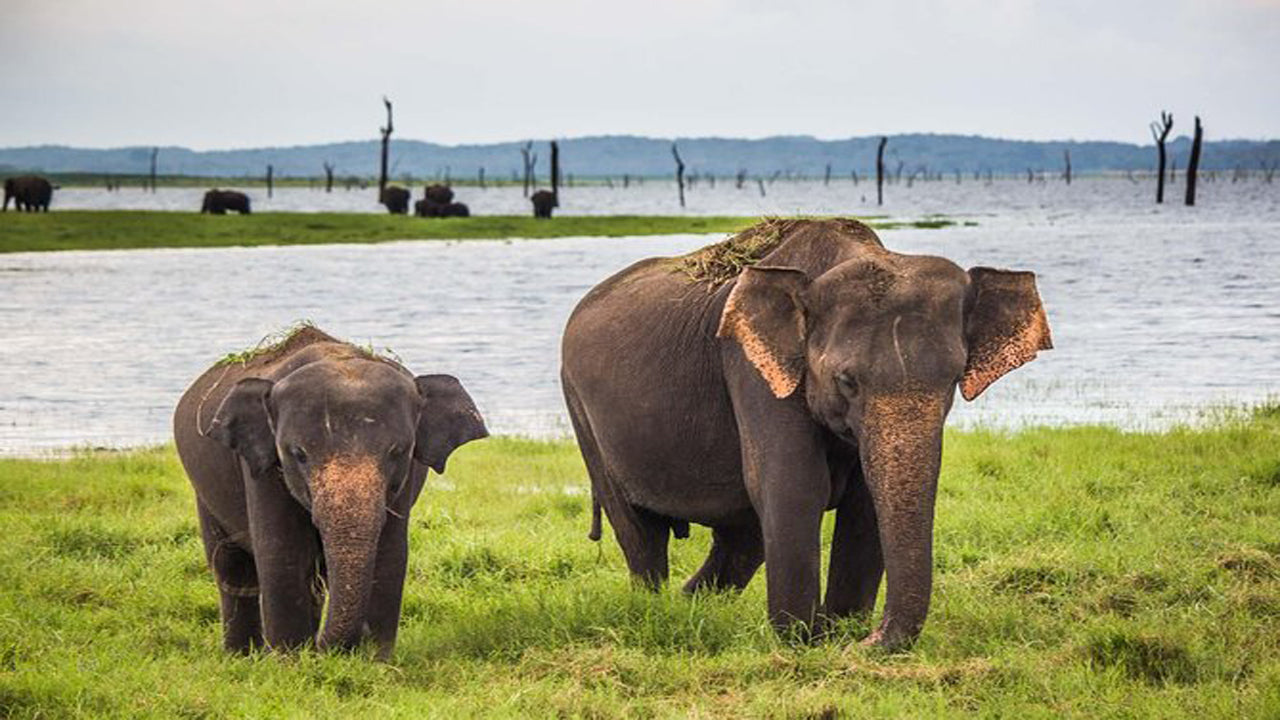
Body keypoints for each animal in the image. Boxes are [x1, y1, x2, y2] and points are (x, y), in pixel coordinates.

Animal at [173, 325, 488, 656]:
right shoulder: (261, 468)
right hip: (204, 491)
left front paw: (374, 660)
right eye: (298, 454)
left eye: (398, 451)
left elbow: (390, 554)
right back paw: (242, 656)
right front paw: (289, 660)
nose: (328, 648)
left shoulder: (406, 479)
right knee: (232, 567)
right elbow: (282, 551)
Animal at [560, 218, 1052, 649]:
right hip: (581, 410)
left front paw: (838, 634)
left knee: (742, 539)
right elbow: (794, 486)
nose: (869, 640)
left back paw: (689, 610)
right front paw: (804, 643)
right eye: (847, 381)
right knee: (643, 535)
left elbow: (863, 504)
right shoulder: (750, 366)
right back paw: (657, 609)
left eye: (952, 379)